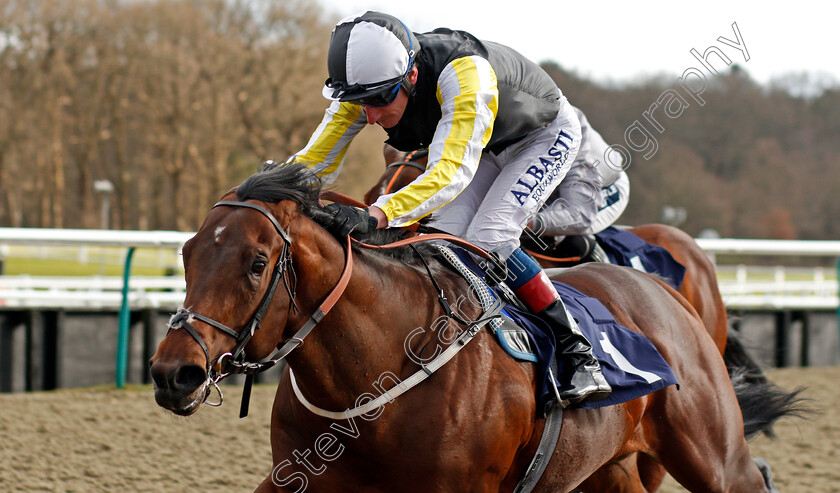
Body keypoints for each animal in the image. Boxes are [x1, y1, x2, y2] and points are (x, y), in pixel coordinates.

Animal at [148, 162, 796, 492]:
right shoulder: (295, 479)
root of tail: (668, 294)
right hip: (606, 468)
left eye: (257, 263)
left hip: (713, 457)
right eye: (187, 253)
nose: (174, 372)